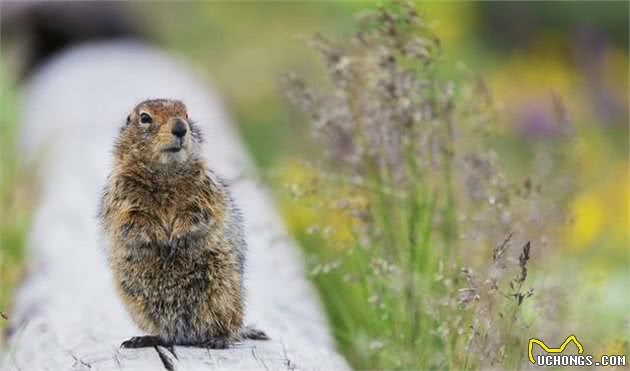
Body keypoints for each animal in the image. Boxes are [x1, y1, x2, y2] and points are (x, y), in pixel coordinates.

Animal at [99, 99, 270, 348]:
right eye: (145, 117)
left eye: (186, 114)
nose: (180, 127)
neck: (165, 174)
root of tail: (187, 336)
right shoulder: (122, 198)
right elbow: (133, 221)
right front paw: (161, 240)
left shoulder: (204, 192)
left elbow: (199, 213)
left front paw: (177, 238)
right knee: (167, 332)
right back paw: (146, 338)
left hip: (223, 294)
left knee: (228, 328)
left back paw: (217, 339)